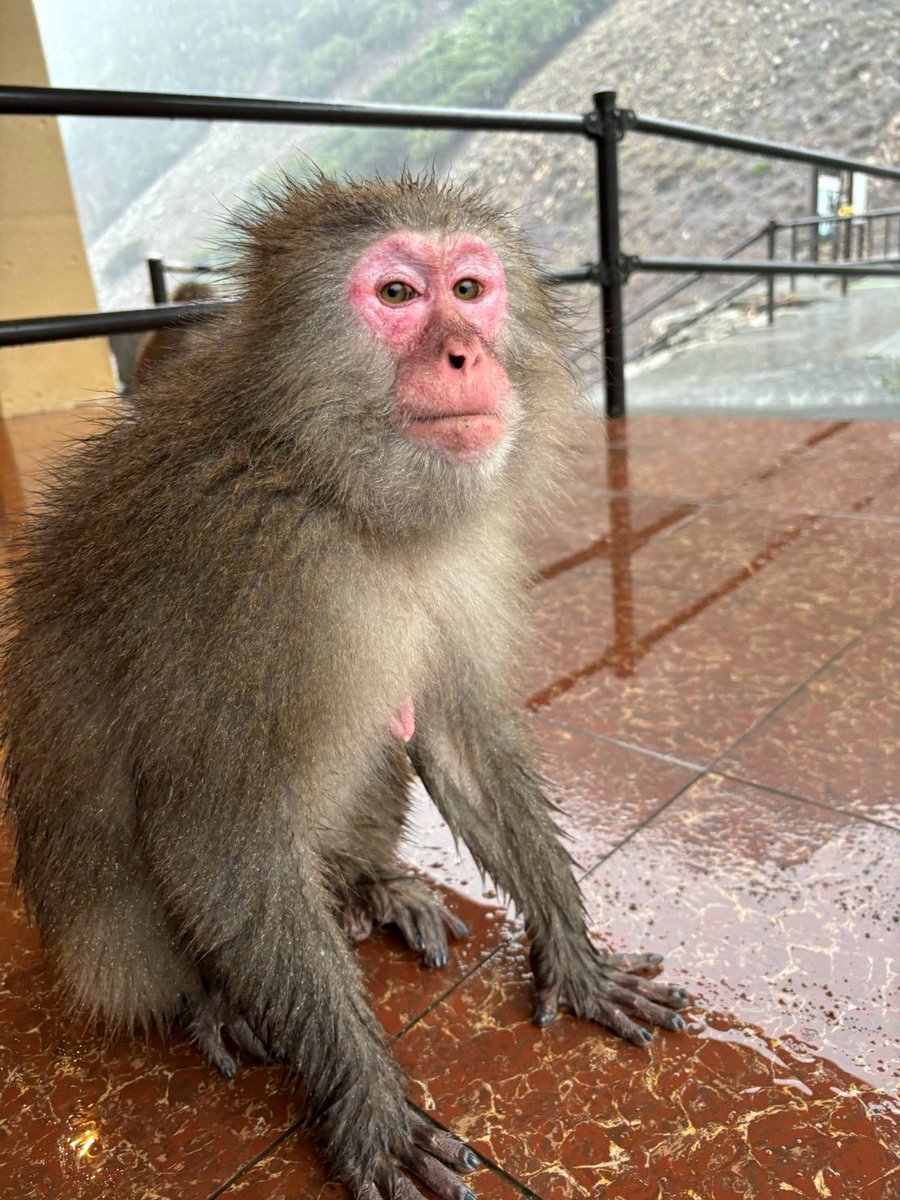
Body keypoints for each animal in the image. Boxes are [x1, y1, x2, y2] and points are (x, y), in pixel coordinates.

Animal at [1, 174, 690, 1199]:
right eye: (398, 294)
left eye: (471, 289)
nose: (463, 351)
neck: (325, 481)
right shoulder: (247, 571)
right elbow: (217, 830)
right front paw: (365, 1099)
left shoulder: (458, 552)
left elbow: (455, 736)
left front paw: (574, 956)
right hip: (109, 953)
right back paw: (215, 1000)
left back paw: (369, 886)